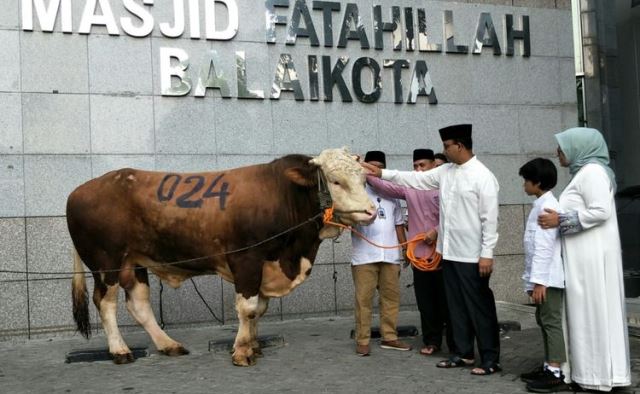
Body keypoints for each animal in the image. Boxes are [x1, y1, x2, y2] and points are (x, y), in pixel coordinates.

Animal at [67, 148, 378, 366]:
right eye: (336, 181)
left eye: (364, 179)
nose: (370, 211)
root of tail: (79, 191)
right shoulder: (247, 260)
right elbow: (248, 307)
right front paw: (242, 351)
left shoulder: (264, 266)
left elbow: (259, 309)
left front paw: (253, 345)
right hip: (106, 263)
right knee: (105, 303)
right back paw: (120, 350)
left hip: (135, 263)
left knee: (139, 304)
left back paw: (168, 344)